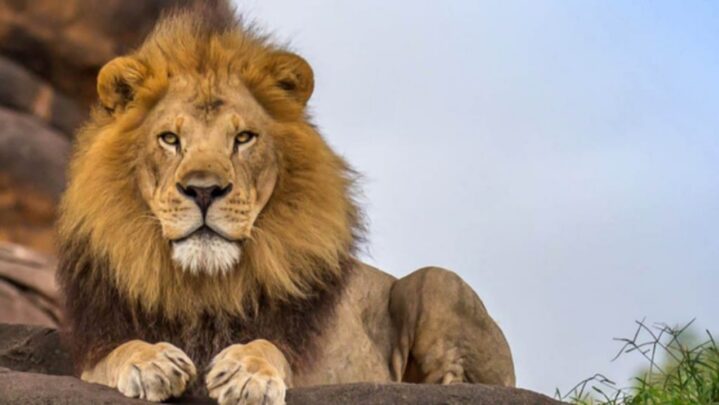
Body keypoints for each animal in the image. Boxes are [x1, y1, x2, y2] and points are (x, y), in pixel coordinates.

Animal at [56, 4, 515, 405]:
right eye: (169, 139)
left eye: (244, 138)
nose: (204, 191)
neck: (204, 287)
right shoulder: (95, 347)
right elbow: (116, 353)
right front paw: (151, 361)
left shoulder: (309, 361)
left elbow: (267, 345)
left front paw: (246, 373)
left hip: (437, 282)